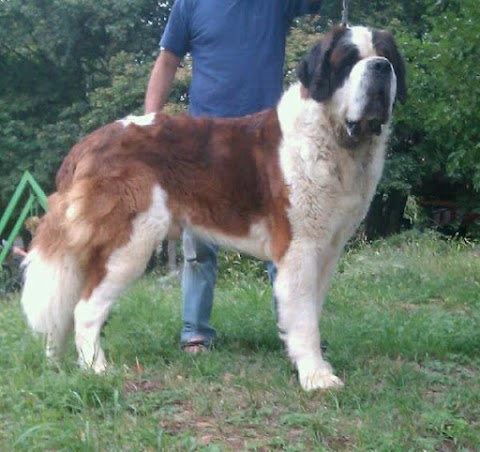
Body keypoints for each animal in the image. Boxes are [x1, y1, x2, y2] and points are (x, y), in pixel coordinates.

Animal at [21, 26, 404, 390]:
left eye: (386, 55)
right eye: (348, 61)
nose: (380, 67)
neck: (335, 138)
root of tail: (86, 144)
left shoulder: (327, 248)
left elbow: (311, 309)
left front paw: (308, 362)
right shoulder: (299, 249)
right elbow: (304, 317)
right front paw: (316, 377)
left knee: (66, 303)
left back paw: (57, 362)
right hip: (130, 241)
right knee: (85, 308)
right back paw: (96, 370)